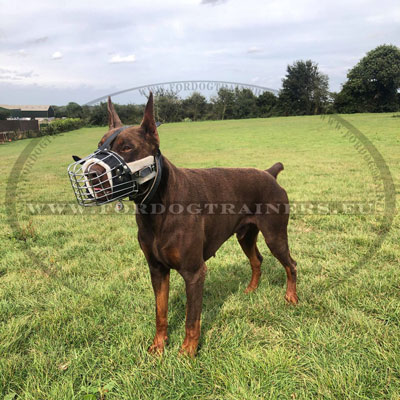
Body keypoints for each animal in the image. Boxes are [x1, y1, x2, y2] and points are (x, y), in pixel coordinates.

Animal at [99, 93, 298, 356]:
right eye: (100, 144)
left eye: (126, 147)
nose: (92, 173)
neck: (157, 206)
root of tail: (269, 173)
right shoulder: (157, 269)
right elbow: (160, 312)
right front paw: (158, 346)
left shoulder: (194, 272)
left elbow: (192, 319)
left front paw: (187, 353)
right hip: (245, 235)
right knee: (257, 260)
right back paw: (251, 290)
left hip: (275, 234)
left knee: (291, 264)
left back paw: (291, 297)